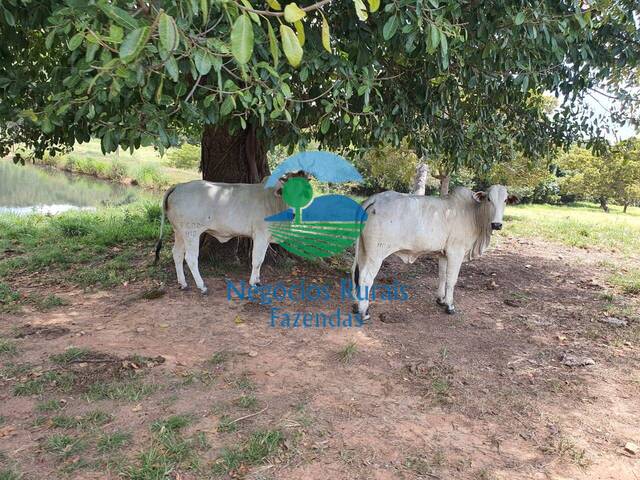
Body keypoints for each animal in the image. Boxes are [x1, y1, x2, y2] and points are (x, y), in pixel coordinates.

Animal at [154, 180, 284, 292]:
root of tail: (180, 185)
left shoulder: (267, 237)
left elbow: (261, 260)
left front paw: (258, 280)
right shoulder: (261, 234)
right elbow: (257, 260)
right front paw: (253, 282)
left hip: (179, 232)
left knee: (177, 253)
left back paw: (183, 283)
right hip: (191, 233)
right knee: (191, 258)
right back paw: (202, 286)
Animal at [350, 186, 516, 316]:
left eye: (505, 200)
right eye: (488, 198)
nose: (496, 224)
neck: (473, 214)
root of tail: (375, 199)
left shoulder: (443, 254)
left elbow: (442, 276)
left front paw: (441, 299)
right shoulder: (456, 252)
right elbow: (452, 279)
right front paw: (450, 306)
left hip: (363, 250)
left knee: (355, 273)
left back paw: (356, 304)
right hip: (375, 254)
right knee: (365, 277)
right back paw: (364, 311)